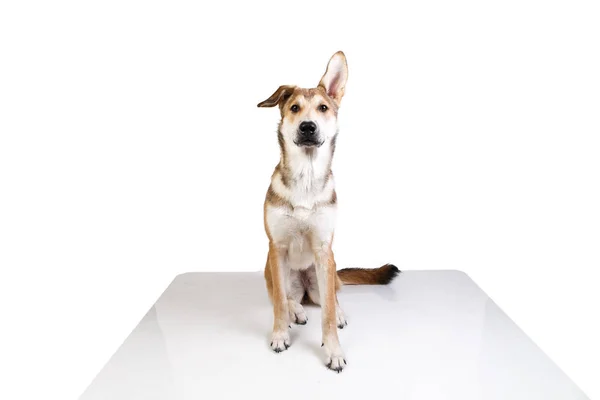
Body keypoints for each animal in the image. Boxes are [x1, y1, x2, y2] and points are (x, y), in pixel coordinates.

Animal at [256, 51, 398, 374]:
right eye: (294, 108)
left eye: (323, 108)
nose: (308, 126)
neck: (306, 178)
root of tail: (307, 289)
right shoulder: (276, 248)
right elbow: (279, 302)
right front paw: (280, 334)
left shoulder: (323, 249)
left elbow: (329, 314)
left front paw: (333, 351)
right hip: (273, 270)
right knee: (286, 297)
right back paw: (296, 311)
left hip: (329, 270)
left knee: (330, 296)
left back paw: (337, 310)